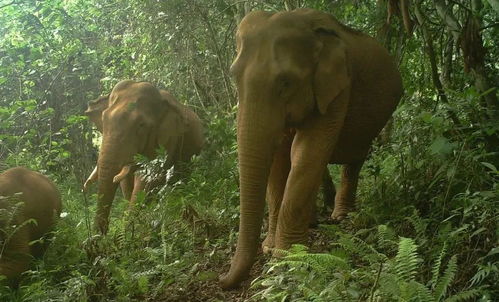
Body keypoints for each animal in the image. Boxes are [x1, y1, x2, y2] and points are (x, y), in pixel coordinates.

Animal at [221, 8, 404, 290]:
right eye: (233, 76)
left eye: (285, 82)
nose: (221, 279)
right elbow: (279, 157)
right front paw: (270, 248)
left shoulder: (339, 87)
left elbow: (306, 152)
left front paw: (287, 256)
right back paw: (315, 221)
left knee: (354, 160)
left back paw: (340, 217)